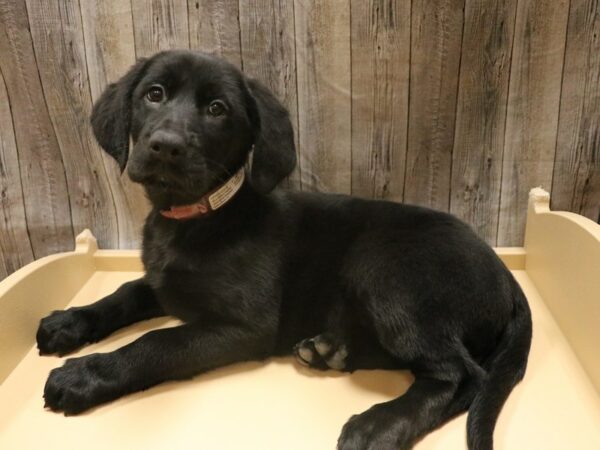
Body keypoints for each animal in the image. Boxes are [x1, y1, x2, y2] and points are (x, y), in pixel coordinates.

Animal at [37, 49, 532, 450]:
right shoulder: (164, 285)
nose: (166, 146)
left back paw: (379, 425)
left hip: (383, 269)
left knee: (461, 374)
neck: (198, 217)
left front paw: (84, 375)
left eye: (217, 109)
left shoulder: (243, 326)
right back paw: (330, 351)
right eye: (153, 94)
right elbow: (122, 295)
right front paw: (68, 322)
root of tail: (507, 276)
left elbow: (156, 342)